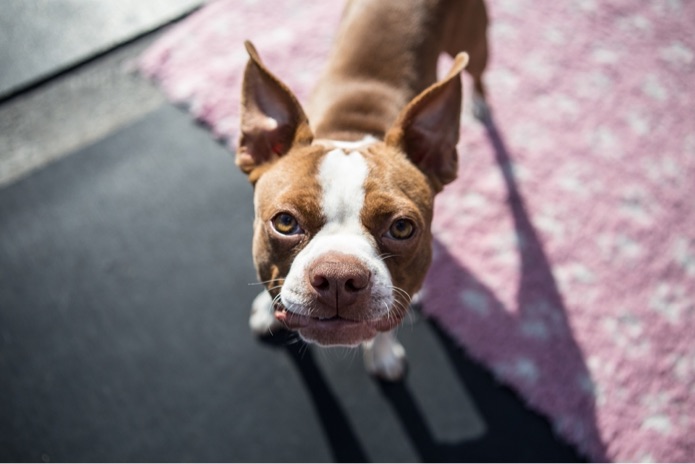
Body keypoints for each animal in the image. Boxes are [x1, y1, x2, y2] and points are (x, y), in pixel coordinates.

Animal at [238, 0, 490, 378]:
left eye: (402, 228)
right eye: (284, 222)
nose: (338, 277)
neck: (352, 132)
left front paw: (383, 354)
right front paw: (267, 309)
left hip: (475, 43)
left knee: (478, 72)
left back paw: (480, 102)